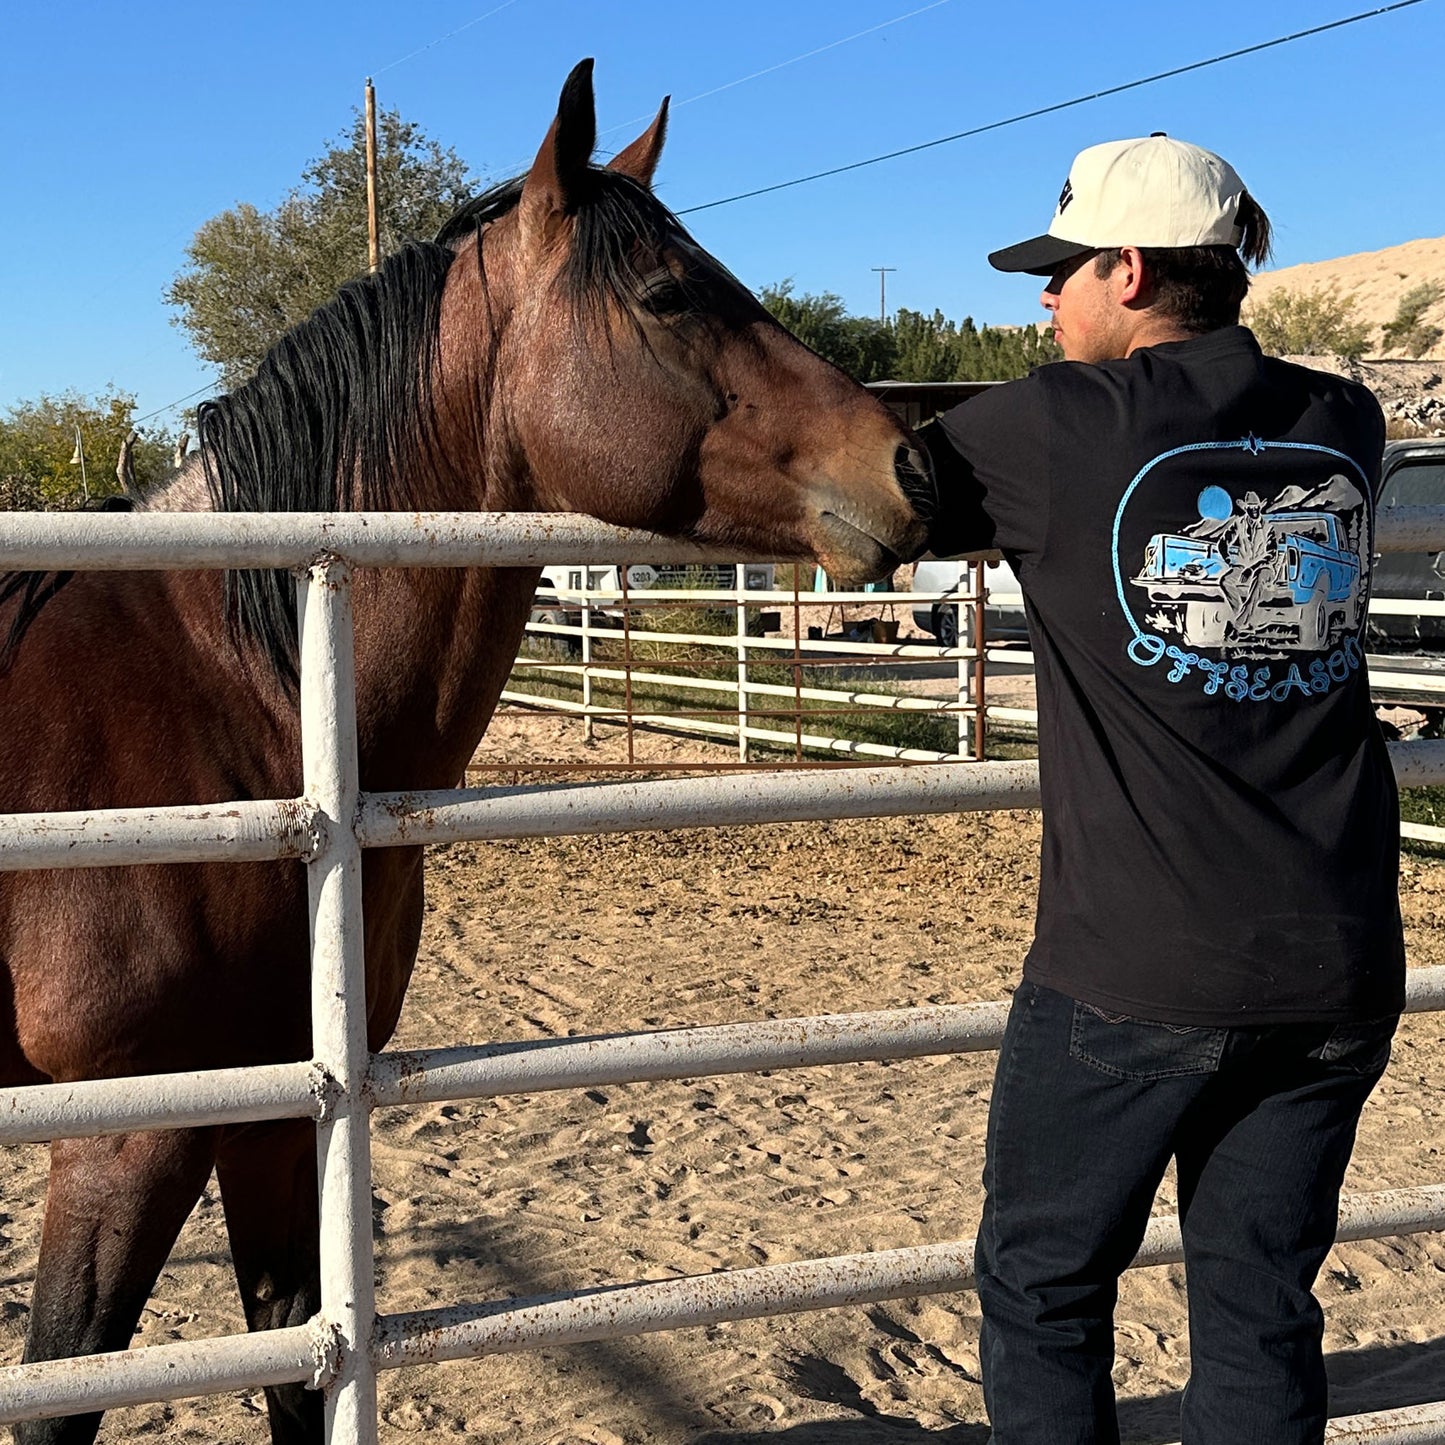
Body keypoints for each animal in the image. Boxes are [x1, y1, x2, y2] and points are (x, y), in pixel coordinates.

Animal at [0, 61, 932, 1444]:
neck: (236, 689)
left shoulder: (279, 1115)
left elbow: (296, 1362)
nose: (913, 464)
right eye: (669, 294)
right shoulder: (127, 1135)